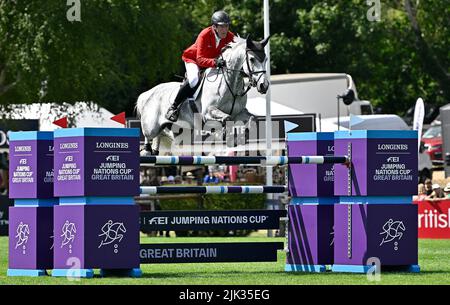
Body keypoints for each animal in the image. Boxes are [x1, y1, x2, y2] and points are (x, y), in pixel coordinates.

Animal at [137, 36, 268, 156]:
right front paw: (226, 135)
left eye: (266, 59)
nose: (264, 86)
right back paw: (147, 150)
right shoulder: (207, 113)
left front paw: (242, 134)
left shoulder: (239, 113)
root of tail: (147, 94)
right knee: (149, 134)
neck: (231, 85)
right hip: (152, 126)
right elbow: (226, 118)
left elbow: (252, 118)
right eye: (252, 59)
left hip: (183, 132)